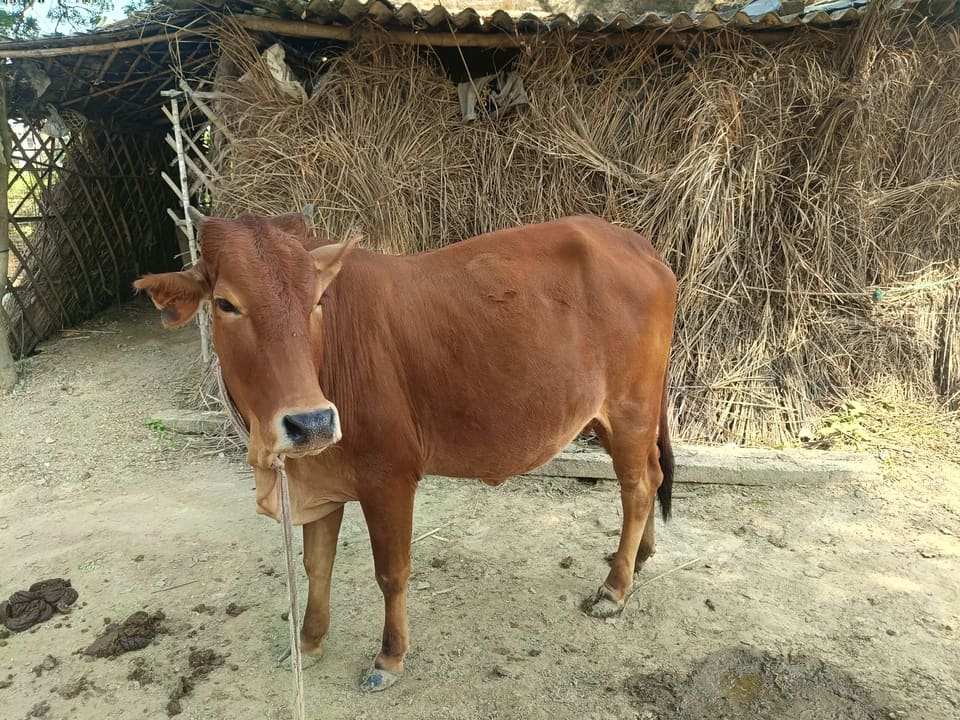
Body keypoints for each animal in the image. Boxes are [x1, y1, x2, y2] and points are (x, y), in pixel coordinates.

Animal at [135, 212, 677, 692]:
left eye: (316, 300)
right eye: (226, 303)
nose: (311, 422)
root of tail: (636, 244)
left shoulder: (389, 478)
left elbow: (391, 573)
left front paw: (389, 656)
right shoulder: (320, 479)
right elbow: (317, 565)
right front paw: (308, 642)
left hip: (629, 411)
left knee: (638, 485)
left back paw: (614, 589)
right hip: (615, 417)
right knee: (650, 478)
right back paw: (638, 558)